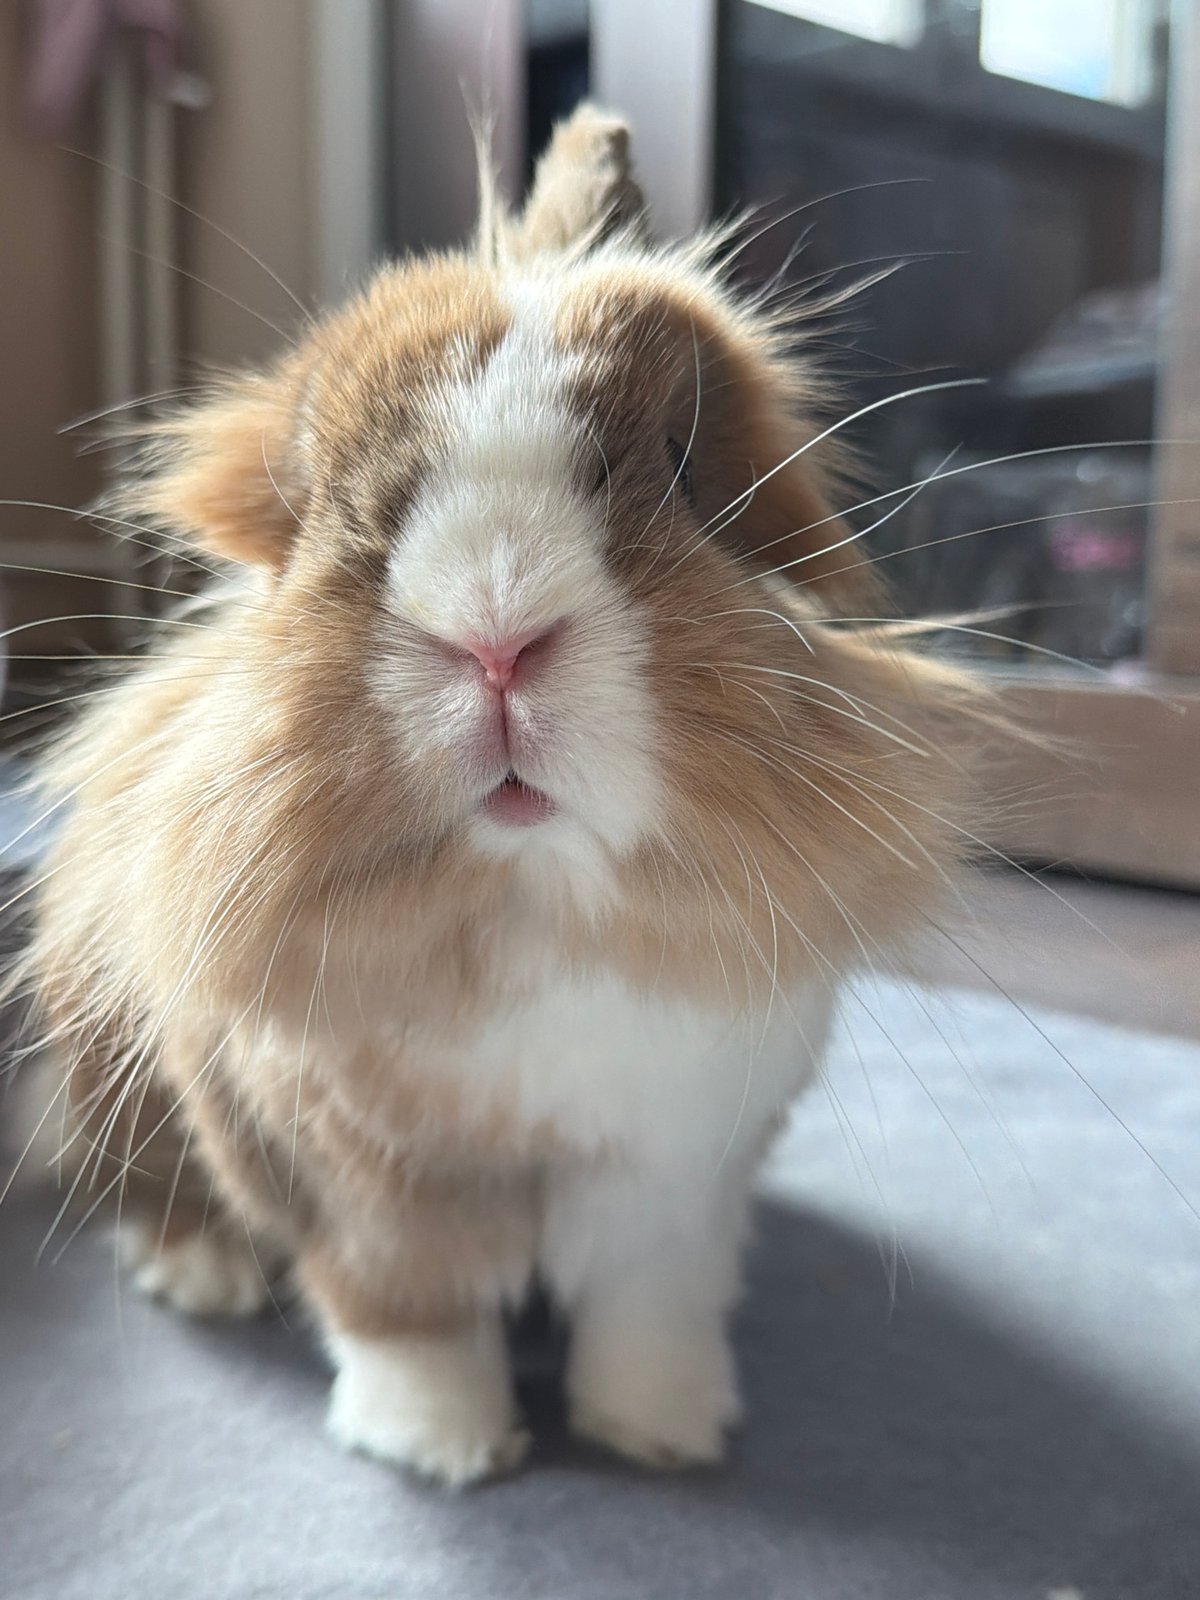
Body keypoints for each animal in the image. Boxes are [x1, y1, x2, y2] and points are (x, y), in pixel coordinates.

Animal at [22, 104, 984, 1486]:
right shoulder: (366, 1187)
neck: (535, 904)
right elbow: (405, 1311)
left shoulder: (675, 1179)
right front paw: (443, 1450)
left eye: (686, 465)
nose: (494, 636)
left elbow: (653, 1307)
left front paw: (666, 1433)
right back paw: (201, 1272)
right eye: (319, 494)